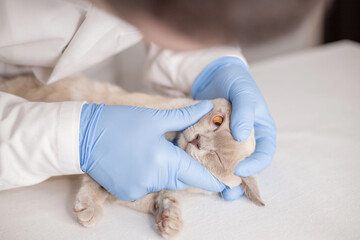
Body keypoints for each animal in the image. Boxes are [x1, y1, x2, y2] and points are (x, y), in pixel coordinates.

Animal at [0, 75, 264, 238]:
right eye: (217, 121)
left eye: (216, 161)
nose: (198, 141)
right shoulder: (105, 149)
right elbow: (94, 180)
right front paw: (89, 208)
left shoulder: (134, 188)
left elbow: (158, 199)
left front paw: (170, 219)